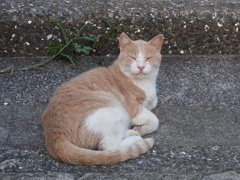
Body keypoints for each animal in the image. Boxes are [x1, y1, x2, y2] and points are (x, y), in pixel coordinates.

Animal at [42, 32, 164, 165]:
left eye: (148, 58)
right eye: (133, 58)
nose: (141, 67)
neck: (146, 83)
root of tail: (53, 133)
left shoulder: (151, 99)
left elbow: (154, 101)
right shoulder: (131, 106)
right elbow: (155, 120)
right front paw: (143, 128)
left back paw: (129, 132)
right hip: (113, 110)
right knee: (109, 146)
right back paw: (135, 137)